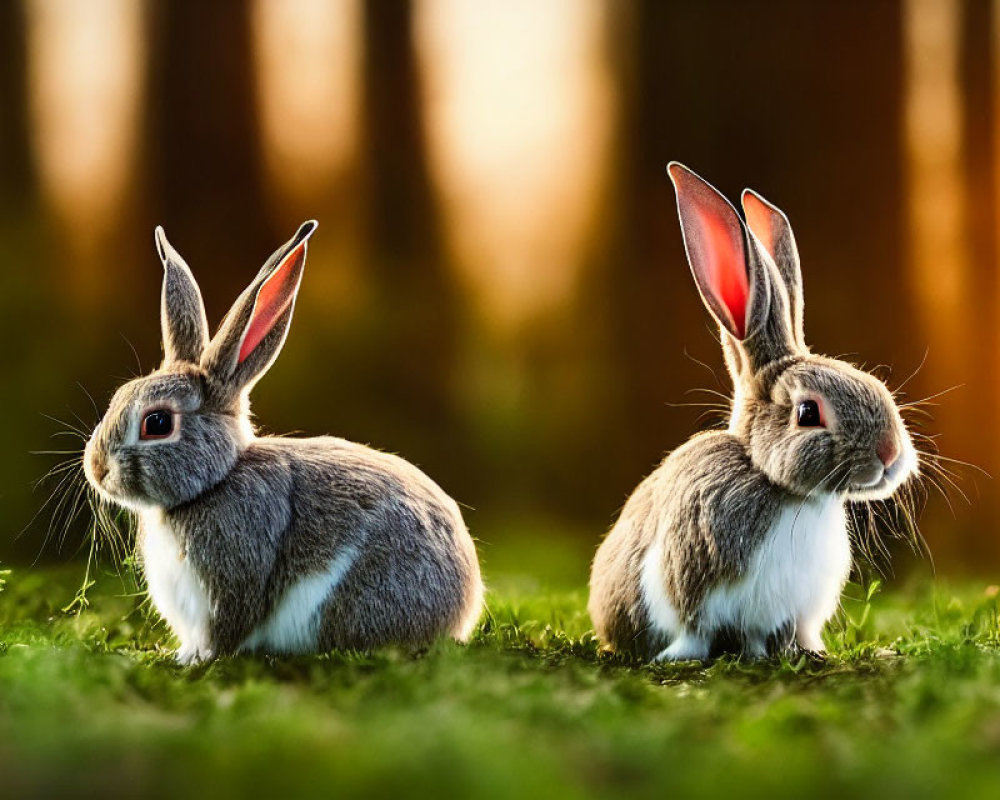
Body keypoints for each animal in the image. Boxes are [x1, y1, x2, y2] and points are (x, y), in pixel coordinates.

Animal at [81, 222, 484, 664]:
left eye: (157, 423)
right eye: (119, 395)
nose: (96, 469)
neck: (215, 482)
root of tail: (463, 607)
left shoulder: (234, 572)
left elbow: (227, 625)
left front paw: (197, 659)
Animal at [584, 162, 920, 664]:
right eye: (807, 412)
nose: (890, 454)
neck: (785, 490)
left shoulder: (798, 610)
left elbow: (796, 632)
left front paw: (808, 652)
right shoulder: (691, 576)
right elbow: (694, 628)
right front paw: (681, 656)